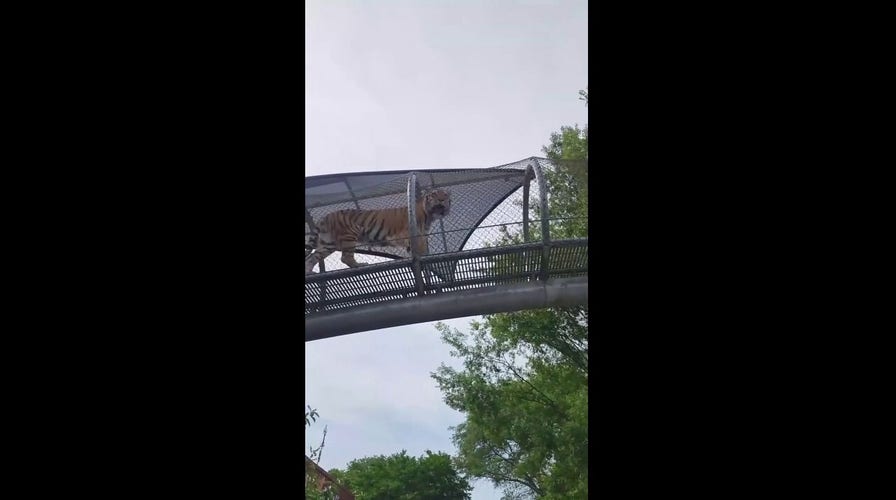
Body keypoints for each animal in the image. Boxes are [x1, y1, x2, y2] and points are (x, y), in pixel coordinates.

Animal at [305, 188, 451, 274]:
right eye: (434, 195)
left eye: (445, 195)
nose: (442, 199)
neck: (429, 216)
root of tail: (326, 216)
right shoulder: (410, 234)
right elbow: (420, 248)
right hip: (349, 234)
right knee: (345, 257)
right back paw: (359, 265)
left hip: (328, 244)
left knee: (312, 257)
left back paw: (309, 272)